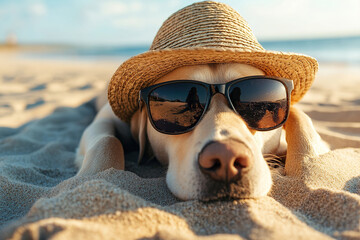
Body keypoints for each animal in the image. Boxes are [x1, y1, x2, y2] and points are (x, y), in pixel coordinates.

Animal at [75, 62, 330, 201]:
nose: (226, 158)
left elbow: (299, 116)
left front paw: (311, 163)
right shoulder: (104, 120)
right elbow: (107, 141)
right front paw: (90, 180)